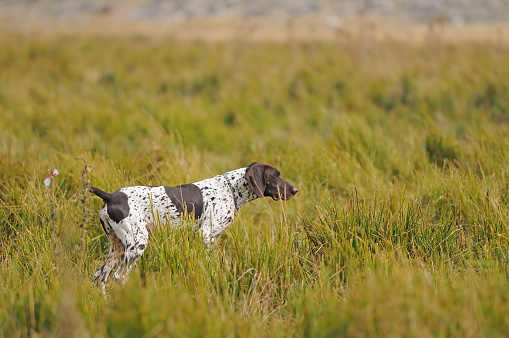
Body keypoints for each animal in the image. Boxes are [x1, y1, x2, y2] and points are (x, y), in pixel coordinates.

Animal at [90, 161, 298, 290]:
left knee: (100, 275)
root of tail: (110, 196)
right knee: (120, 277)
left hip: (117, 248)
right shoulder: (206, 235)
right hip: (137, 243)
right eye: (275, 176)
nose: (296, 190)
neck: (229, 189)